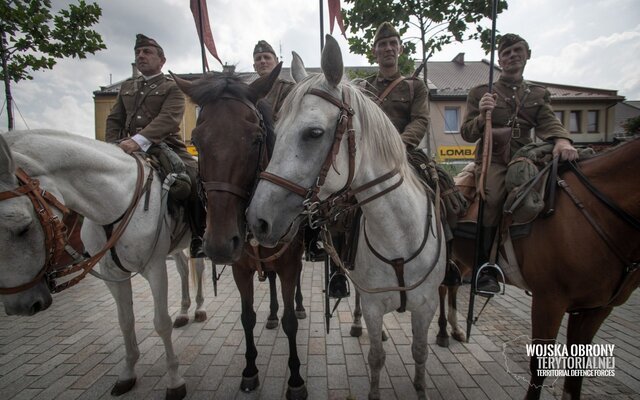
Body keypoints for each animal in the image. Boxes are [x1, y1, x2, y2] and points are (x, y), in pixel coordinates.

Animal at [0, 130, 190, 398]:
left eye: (23, 228)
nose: (21, 306)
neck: (116, 202)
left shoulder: (155, 268)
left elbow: (161, 323)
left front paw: (174, 380)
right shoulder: (112, 274)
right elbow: (125, 321)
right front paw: (128, 373)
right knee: (184, 268)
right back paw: (185, 311)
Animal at [172, 66, 308, 400]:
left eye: (256, 139)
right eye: (196, 141)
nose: (220, 244)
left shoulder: (289, 264)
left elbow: (290, 321)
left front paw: (295, 378)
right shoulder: (241, 270)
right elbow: (247, 319)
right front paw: (249, 371)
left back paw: (298, 307)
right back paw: (270, 314)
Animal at [248, 35, 448, 400]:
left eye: (313, 133)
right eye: (276, 130)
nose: (258, 220)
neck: (400, 235)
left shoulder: (425, 307)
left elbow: (420, 352)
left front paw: (420, 388)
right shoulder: (373, 304)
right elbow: (376, 356)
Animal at [438, 136, 636, 398]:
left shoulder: (597, 308)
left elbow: (577, 368)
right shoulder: (549, 301)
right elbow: (540, 363)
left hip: (465, 260)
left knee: (452, 286)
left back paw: (456, 329)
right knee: (442, 288)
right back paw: (442, 332)